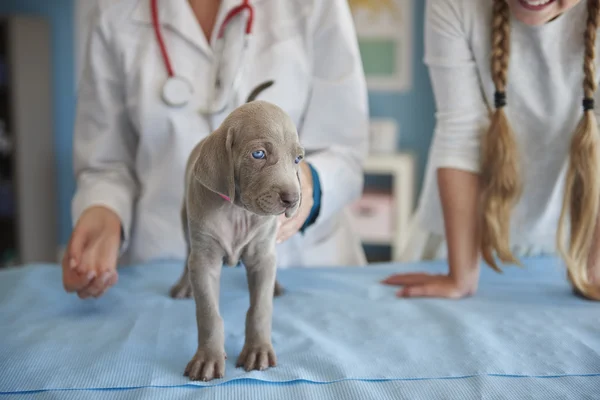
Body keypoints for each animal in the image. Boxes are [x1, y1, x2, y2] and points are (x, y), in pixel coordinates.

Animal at [168, 83, 302, 382]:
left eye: (298, 159)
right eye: (258, 154)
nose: (293, 199)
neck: (238, 211)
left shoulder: (262, 255)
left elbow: (260, 308)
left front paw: (258, 349)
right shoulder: (205, 259)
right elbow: (208, 313)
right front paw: (207, 358)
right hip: (185, 222)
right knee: (186, 255)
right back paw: (183, 285)